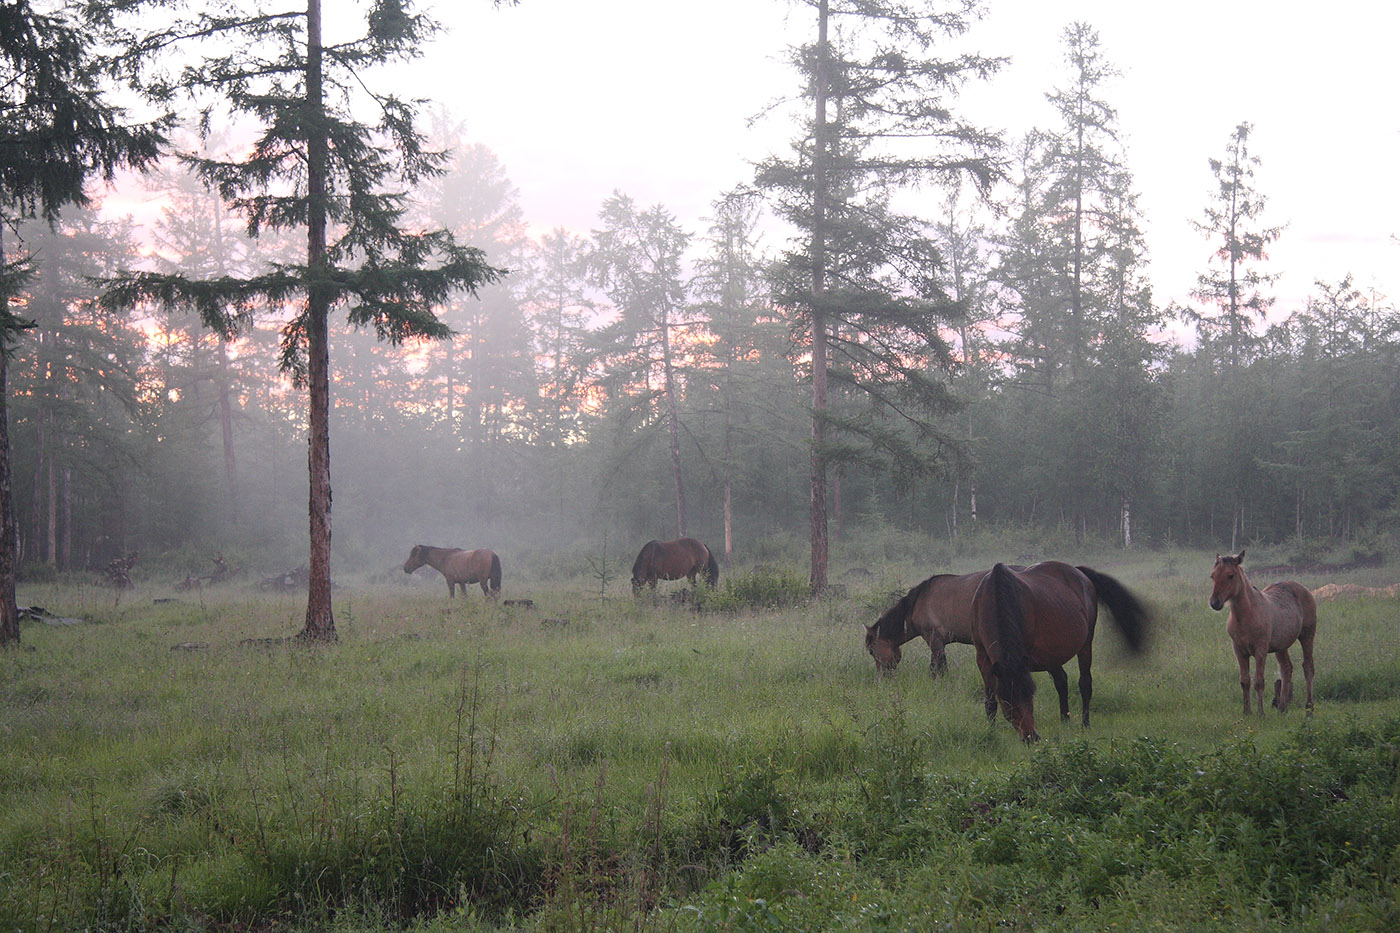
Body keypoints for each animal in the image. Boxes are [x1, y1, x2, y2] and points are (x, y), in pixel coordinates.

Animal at [968, 560, 1153, 739]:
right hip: (1052, 654)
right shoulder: (983, 657)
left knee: (1085, 683)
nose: (1031, 737)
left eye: (1030, 695)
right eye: (1006, 701)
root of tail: (1079, 573)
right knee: (1062, 682)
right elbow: (990, 700)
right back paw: (1065, 721)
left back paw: (1085, 724)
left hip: (1085, 643)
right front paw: (991, 731)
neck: (996, 597)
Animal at [1209, 549, 1316, 714]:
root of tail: (1303, 588)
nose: (1215, 603)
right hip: (1281, 646)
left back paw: (1309, 707)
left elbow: (1258, 682)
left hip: (1307, 636)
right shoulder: (1239, 651)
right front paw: (1246, 712)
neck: (1246, 616)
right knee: (1286, 669)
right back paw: (1282, 708)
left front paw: (1260, 713)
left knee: (1308, 667)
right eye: (1212, 575)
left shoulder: (1260, 650)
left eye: (1231, 575)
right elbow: (1244, 681)